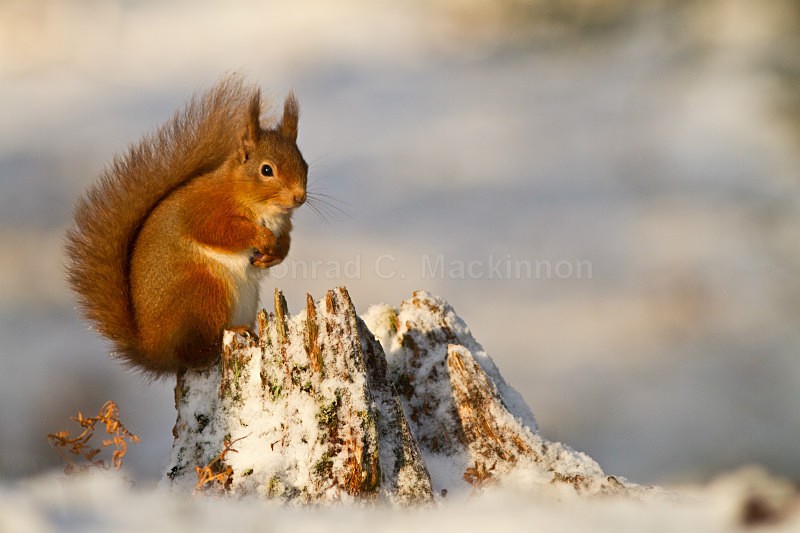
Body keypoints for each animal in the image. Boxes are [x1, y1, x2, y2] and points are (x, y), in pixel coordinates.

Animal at [65, 76, 308, 376]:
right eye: (266, 170)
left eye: (304, 164)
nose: (299, 197)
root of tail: (156, 351)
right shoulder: (205, 211)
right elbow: (221, 231)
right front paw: (261, 237)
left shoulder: (283, 224)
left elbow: (285, 241)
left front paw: (274, 255)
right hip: (204, 291)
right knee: (196, 353)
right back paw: (229, 335)